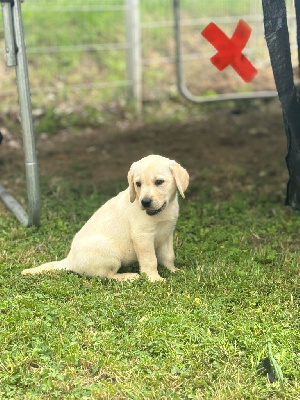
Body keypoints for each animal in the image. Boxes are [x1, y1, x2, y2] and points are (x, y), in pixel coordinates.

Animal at [21, 155, 188, 282]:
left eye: (159, 182)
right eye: (138, 184)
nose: (145, 202)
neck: (163, 211)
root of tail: (70, 260)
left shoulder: (167, 233)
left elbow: (168, 256)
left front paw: (174, 270)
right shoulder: (142, 237)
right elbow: (150, 260)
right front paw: (154, 279)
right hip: (110, 252)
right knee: (106, 276)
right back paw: (127, 276)